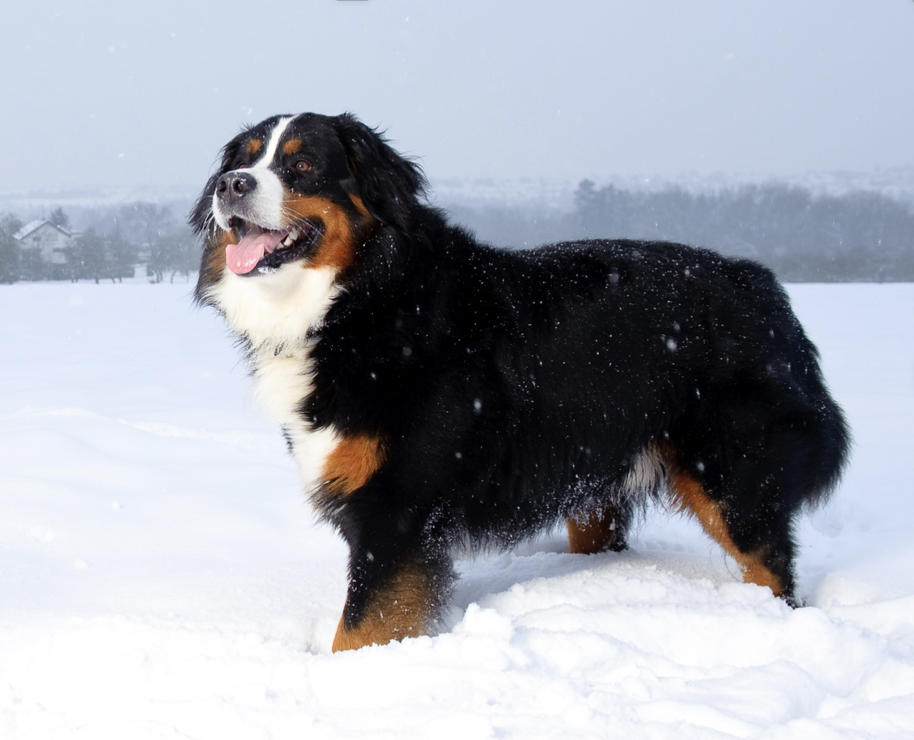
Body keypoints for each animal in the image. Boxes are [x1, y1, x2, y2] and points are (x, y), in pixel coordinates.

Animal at [189, 112, 852, 652]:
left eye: (302, 164)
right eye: (245, 158)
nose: (231, 186)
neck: (362, 302)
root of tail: (762, 286)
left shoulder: (396, 511)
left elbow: (359, 629)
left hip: (733, 476)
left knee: (771, 568)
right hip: (597, 484)